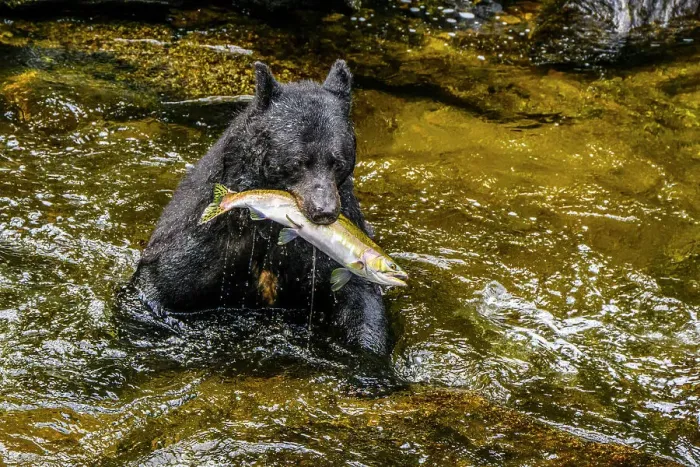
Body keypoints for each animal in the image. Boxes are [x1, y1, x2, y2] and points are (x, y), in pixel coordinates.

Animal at [131, 60, 390, 356]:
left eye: (337, 161)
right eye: (298, 161)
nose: (324, 211)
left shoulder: (334, 244)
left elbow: (360, 299)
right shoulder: (205, 239)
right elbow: (166, 282)